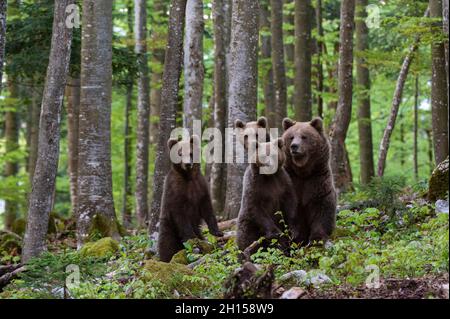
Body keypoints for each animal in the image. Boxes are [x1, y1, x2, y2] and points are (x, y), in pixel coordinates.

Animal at [284, 117, 336, 245]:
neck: (303, 172)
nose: (294, 146)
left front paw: (317, 238)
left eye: (304, 136)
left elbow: (320, 209)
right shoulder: (292, 181)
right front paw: (296, 237)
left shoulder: (317, 181)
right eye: (291, 137)